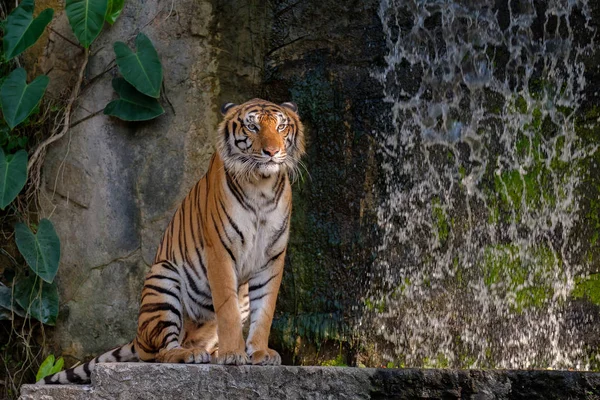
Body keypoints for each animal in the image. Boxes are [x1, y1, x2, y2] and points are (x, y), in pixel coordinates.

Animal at [39, 98, 304, 382]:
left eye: (281, 127)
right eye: (252, 127)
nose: (272, 152)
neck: (260, 186)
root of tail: (138, 337)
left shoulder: (272, 256)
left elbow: (265, 309)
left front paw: (260, 353)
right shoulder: (220, 252)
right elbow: (227, 310)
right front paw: (233, 354)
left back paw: (211, 353)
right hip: (163, 279)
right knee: (161, 353)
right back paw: (190, 355)